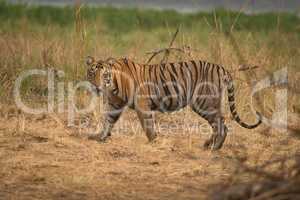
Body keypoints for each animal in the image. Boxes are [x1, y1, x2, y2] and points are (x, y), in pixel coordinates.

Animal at [85, 56, 262, 150]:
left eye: (104, 75)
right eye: (92, 73)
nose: (97, 86)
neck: (114, 84)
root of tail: (222, 68)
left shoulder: (142, 105)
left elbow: (148, 126)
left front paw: (154, 141)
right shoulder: (114, 105)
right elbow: (108, 121)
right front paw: (100, 137)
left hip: (203, 102)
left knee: (221, 124)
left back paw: (214, 147)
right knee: (219, 124)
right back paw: (208, 144)